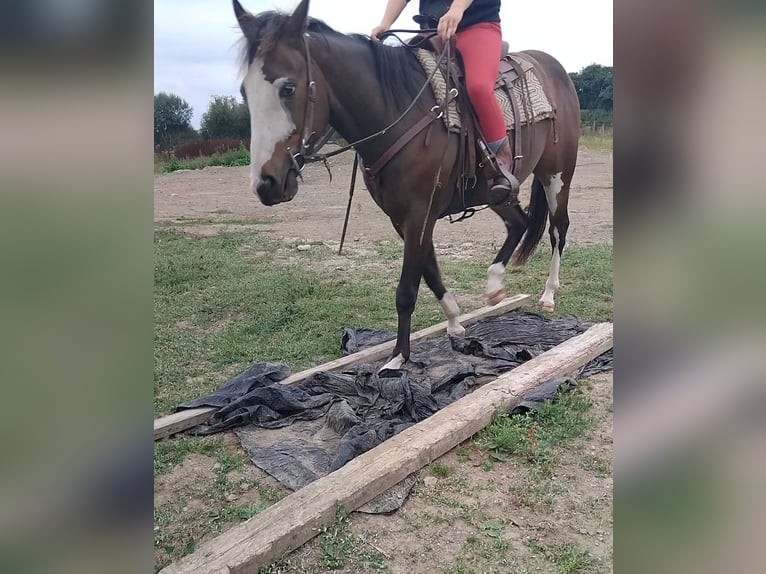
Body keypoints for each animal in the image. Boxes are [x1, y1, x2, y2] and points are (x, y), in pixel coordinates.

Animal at [231, 0, 580, 370]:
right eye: (244, 92)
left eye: (288, 87)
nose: (266, 183)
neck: (397, 110)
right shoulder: (402, 217)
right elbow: (428, 270)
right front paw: (454, 321)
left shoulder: (418, 213)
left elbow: (407, 288)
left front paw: (398, 357)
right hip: (497, 191)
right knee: (520, 223)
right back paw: (494, 285)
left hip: (557, 174)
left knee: (558, 229)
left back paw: (548, 294)